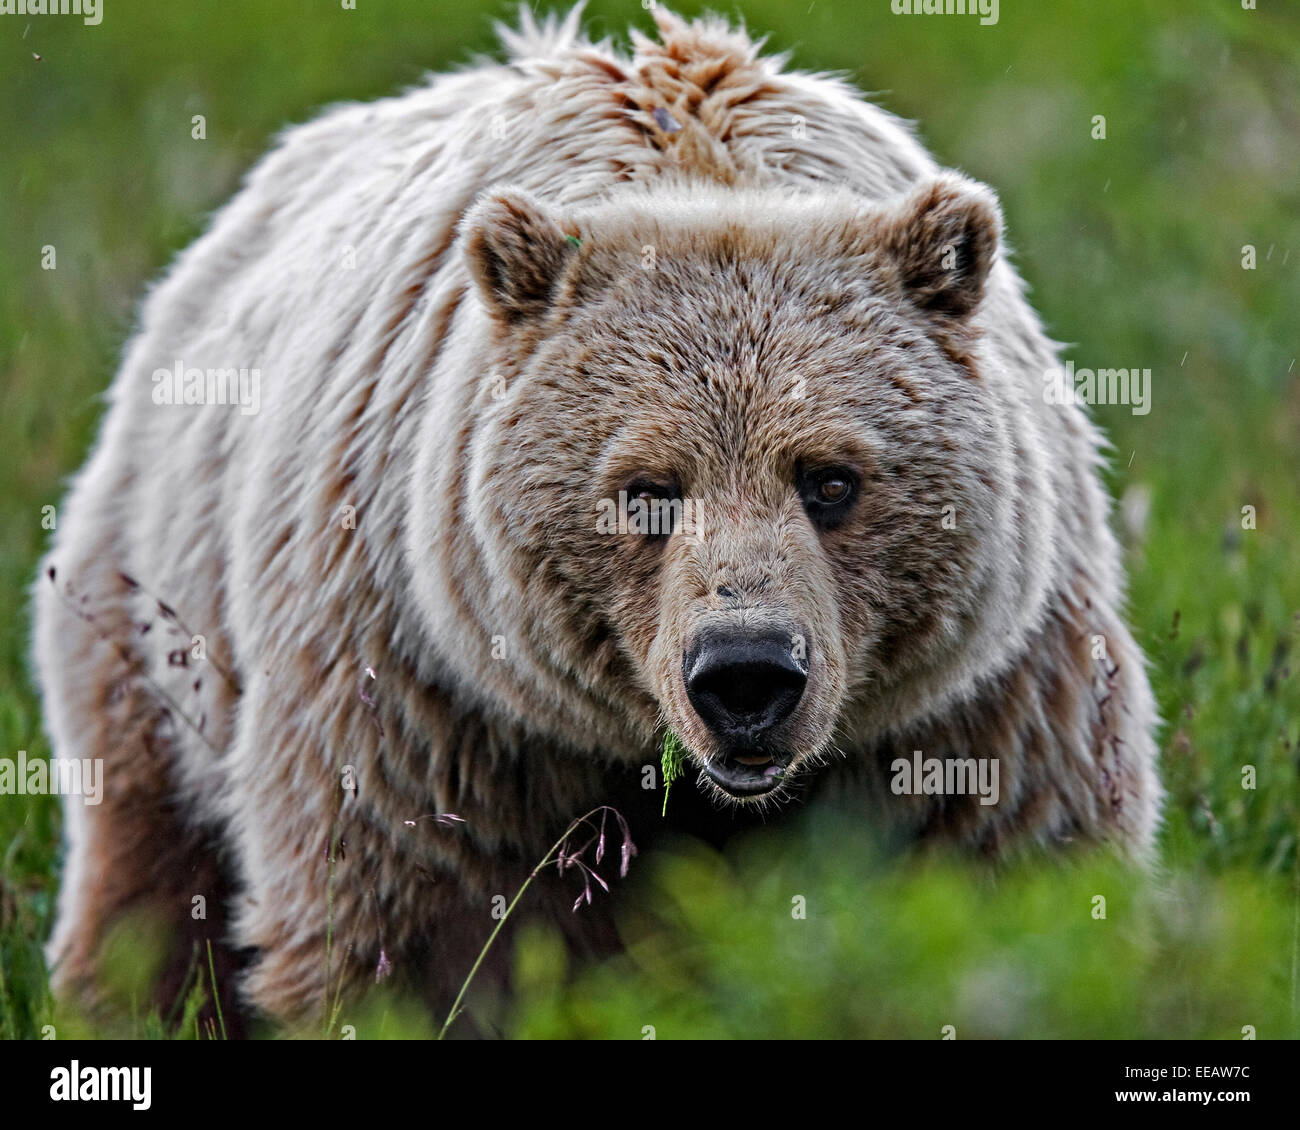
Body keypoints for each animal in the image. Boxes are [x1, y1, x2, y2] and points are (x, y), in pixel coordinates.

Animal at [33, 4, 1160, 1030]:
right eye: (648, 487)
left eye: (831, 479)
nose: (745, 674)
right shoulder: (433, 696)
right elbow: (403, 926)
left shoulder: (982, 699)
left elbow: (1014, 865)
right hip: (156, 608)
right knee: (147, 862)